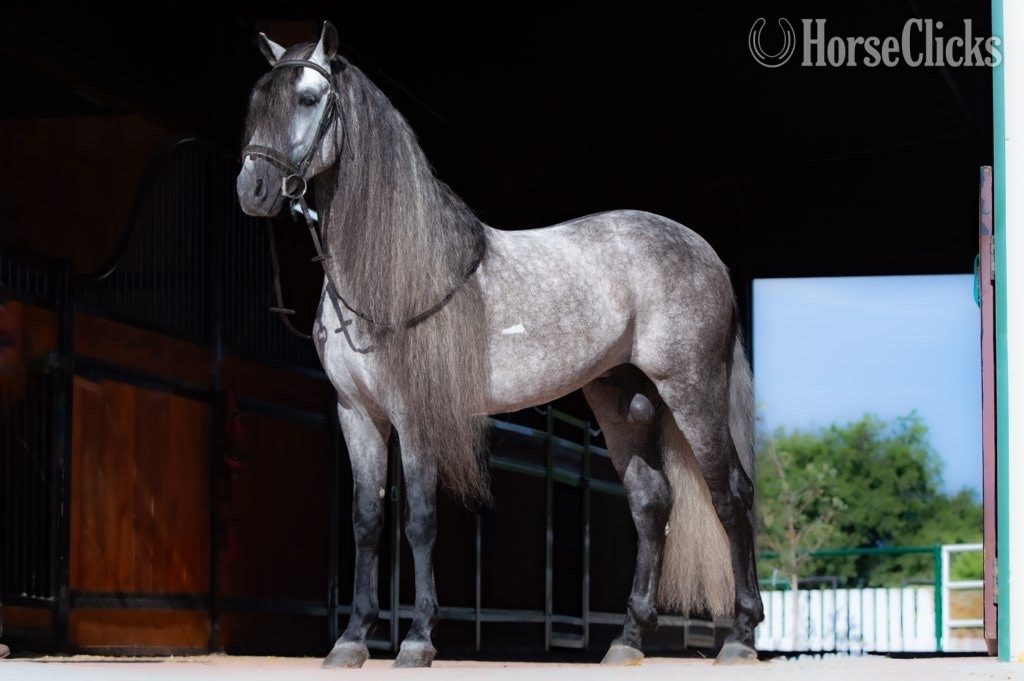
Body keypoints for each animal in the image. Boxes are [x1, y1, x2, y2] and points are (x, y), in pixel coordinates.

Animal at [236, 21, 763, 668]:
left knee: (731, 496)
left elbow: (419, 519)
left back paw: (740, 638)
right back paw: (628, 641)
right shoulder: (357, 413)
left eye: (309, 99)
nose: (253, 188)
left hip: (692, 392)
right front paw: (352, 640)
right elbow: (366, 520)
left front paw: (417, 640)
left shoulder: (416, 415)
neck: (389, 275)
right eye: (259, 101)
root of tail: (704, 252)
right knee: (651, 503)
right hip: (620, 401)